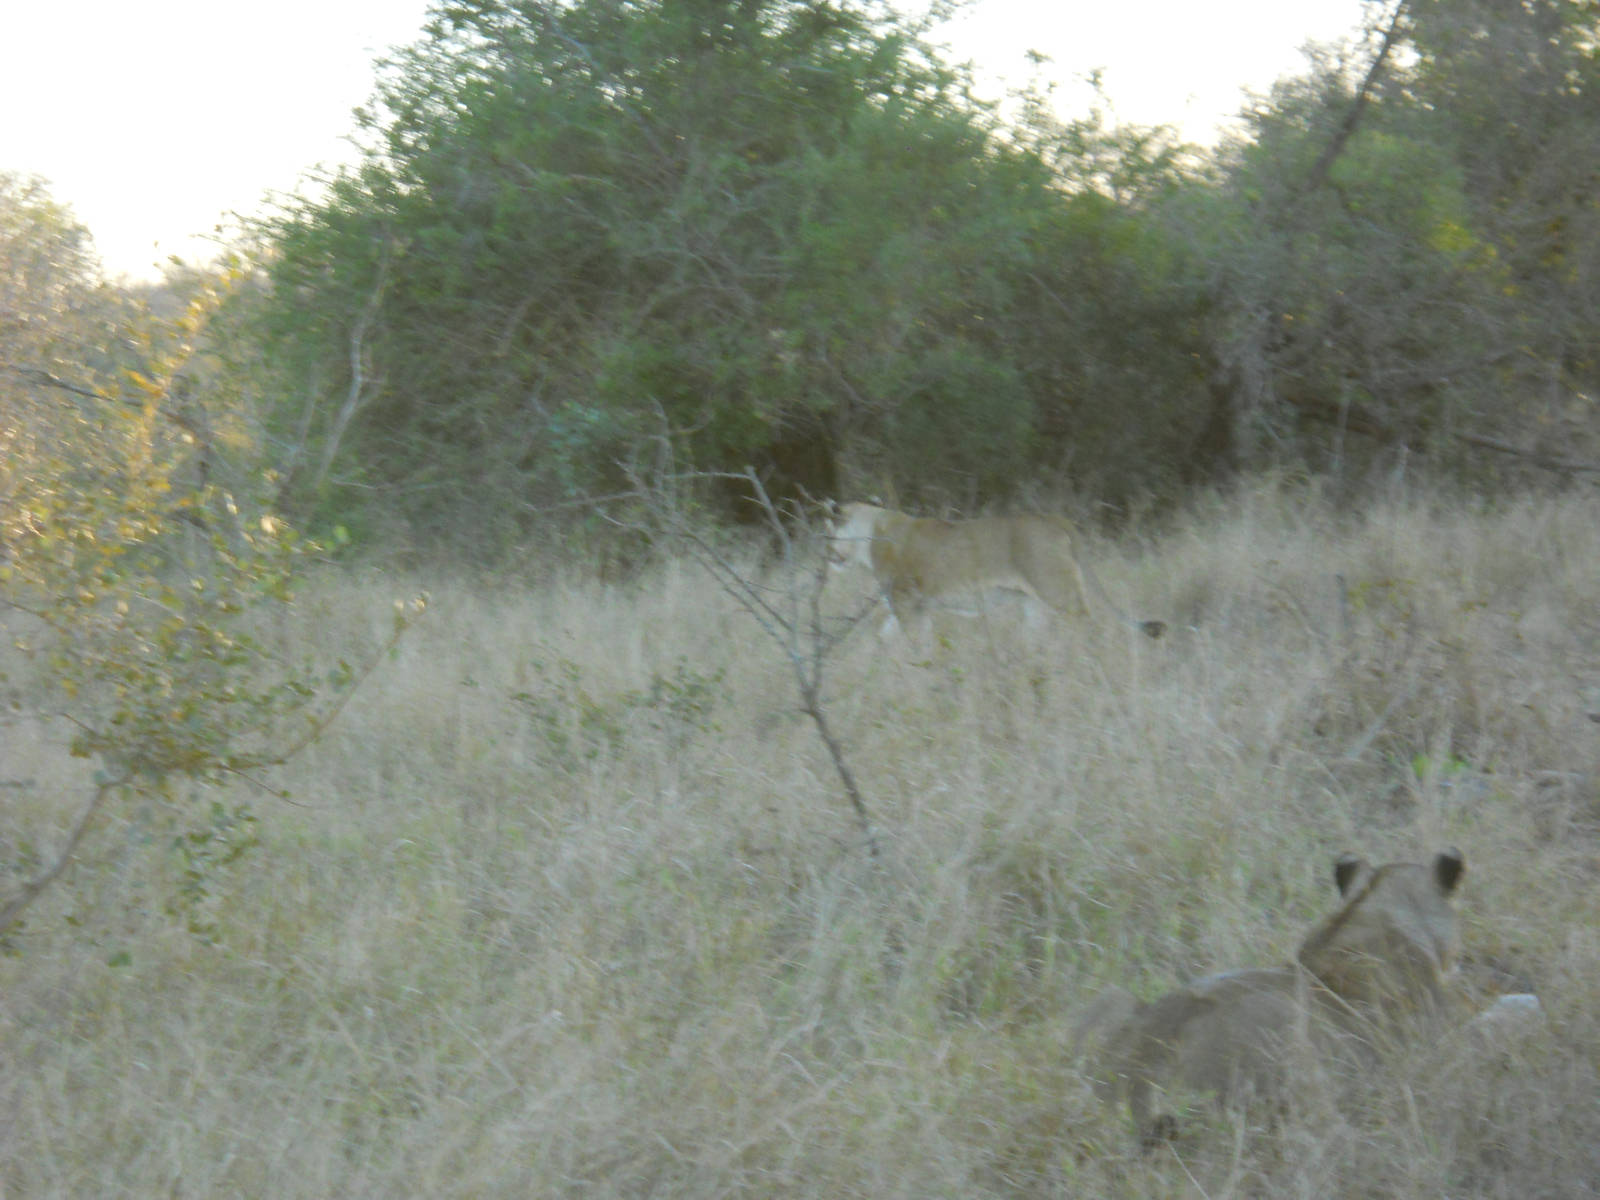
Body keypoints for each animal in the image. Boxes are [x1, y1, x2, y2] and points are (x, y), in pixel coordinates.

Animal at [824, 502, 1166, 641]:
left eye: (830, 532)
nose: (826, 555)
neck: (871, 532)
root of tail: (1054, 518)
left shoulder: (906, 602)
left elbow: (912, 641)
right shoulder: (913, 607)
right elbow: (888, 637)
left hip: (1058, 590)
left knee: (1088, 623)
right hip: (1033, 605)